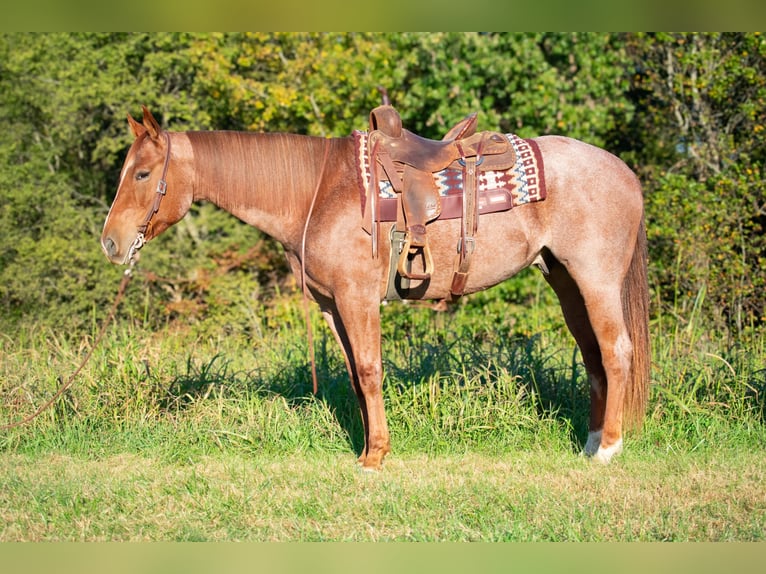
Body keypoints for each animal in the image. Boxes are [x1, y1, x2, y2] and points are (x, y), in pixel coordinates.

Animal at [102, 106, 652, 470]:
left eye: (144, 173)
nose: (111, 242)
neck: (319, 191)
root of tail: (624, 172)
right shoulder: (332, 305)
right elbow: (353, 375)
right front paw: (368, 447)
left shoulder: (357, 298)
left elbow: (369, 371)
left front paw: (375, 458)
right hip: (565, 281)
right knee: (593, 355)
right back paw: (591, 442)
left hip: (595, 278)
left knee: (616, 351)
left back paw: (608, 449)